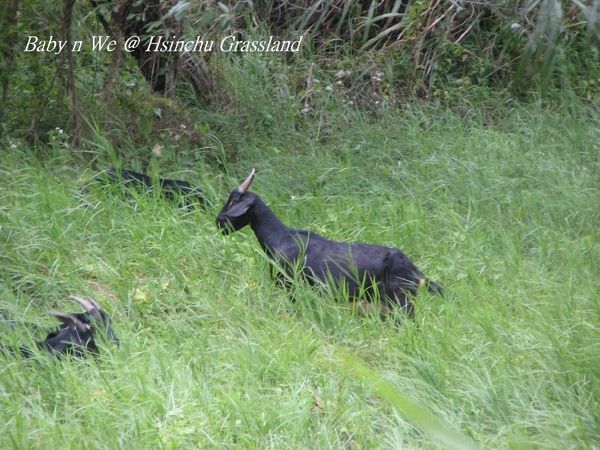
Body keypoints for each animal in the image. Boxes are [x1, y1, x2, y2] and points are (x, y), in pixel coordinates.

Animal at [214, 169, 440, 316]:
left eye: (233, 202)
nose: (218, 222)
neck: (280, 238)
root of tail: (415, 271)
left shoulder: (290, 285)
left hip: (401, 300)